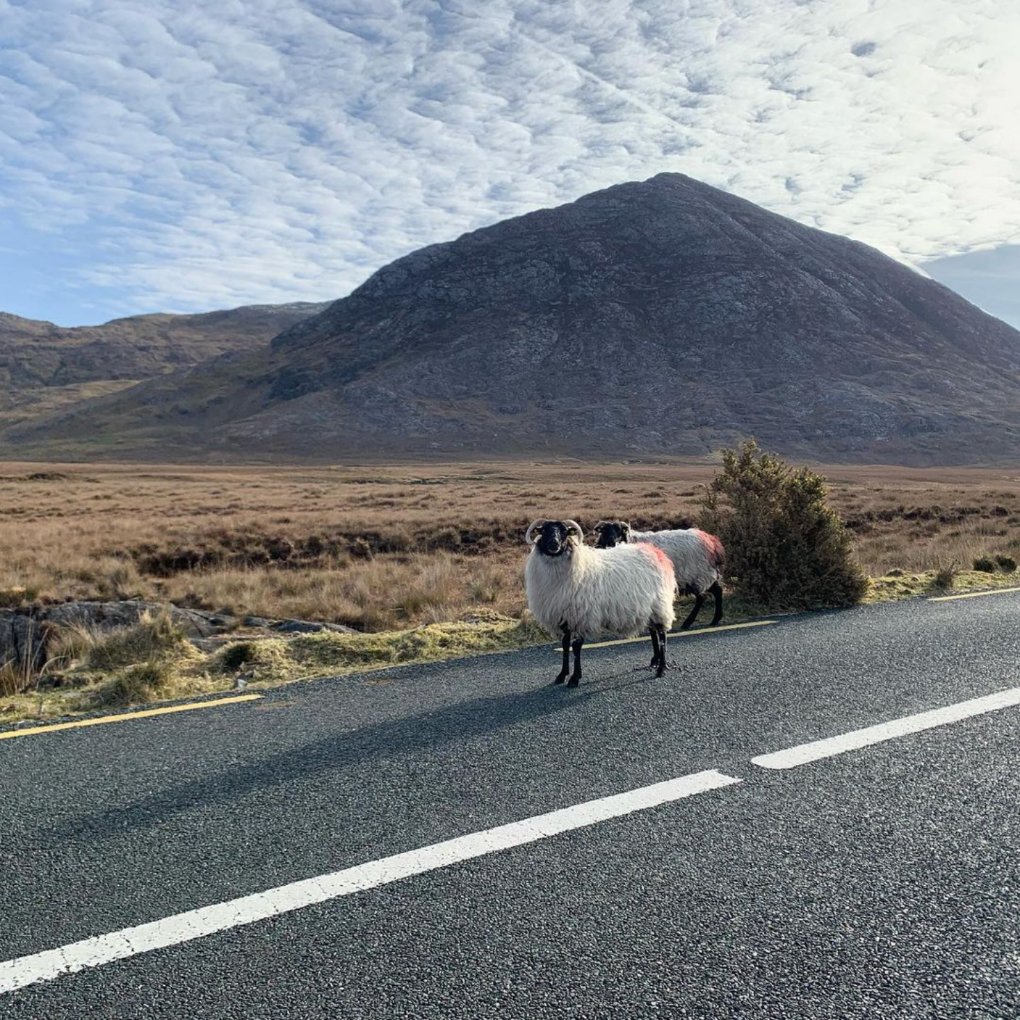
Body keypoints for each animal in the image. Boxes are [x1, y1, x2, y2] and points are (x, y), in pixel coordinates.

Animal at [524, 518, 676, 686]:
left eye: (564, 531)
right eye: (544, 530)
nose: (554, 543)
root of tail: (656, 553)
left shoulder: (582, 616)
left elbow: (576, 647)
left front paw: (574, 678)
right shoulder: (564, 616)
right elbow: (564, 645)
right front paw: (562, 675)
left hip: (660, 604)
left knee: (662, 635)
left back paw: (661, 668)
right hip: (648, 608)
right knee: (654, 633)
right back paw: (655, 661)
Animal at [592, 520, 725, 631]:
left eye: (619, 531)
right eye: (605, 531)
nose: (612, 541)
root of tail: (711, 542)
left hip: (697, 575)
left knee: (702, 597)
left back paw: (689, 623)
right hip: (704, 574)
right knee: (717, 591)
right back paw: (715, 619)